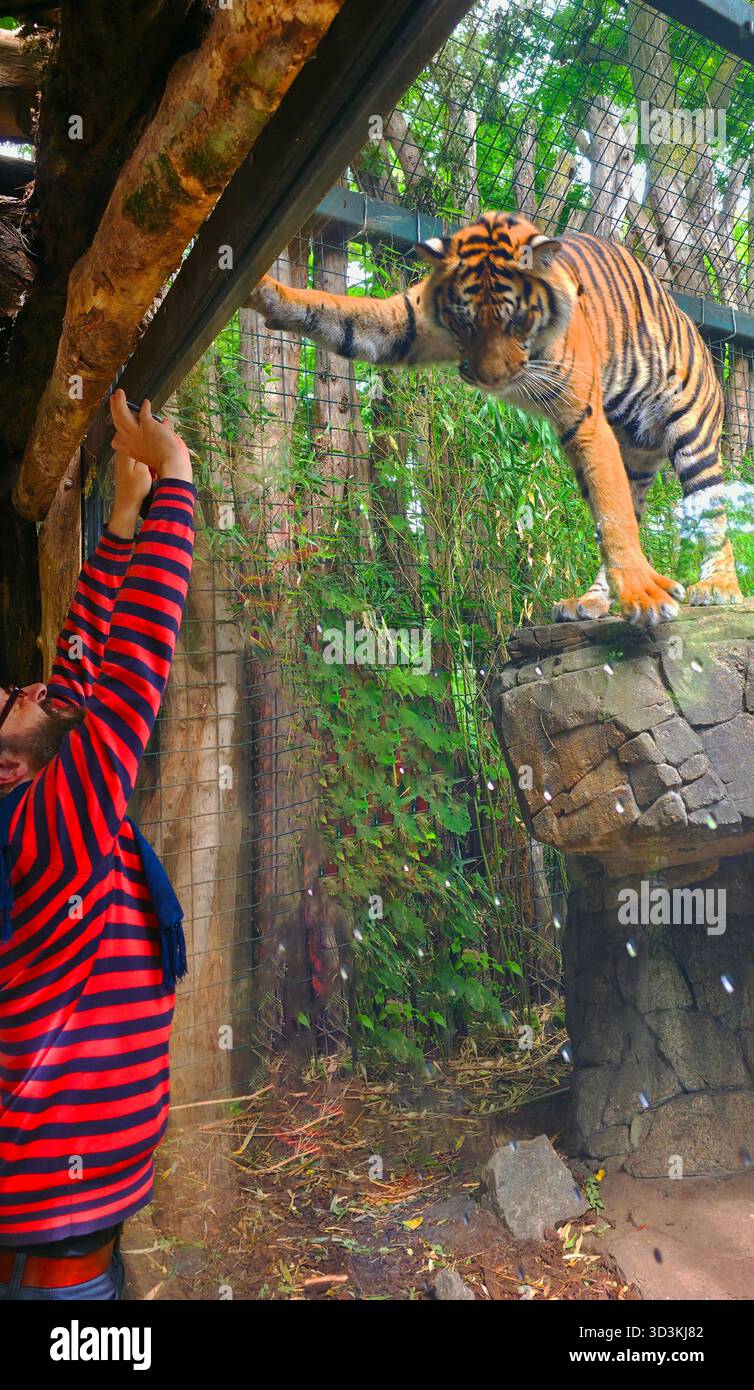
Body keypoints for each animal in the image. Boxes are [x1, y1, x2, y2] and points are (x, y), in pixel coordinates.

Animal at [247, 211, 743, 626]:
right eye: (463, 322)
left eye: (517, 322)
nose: (490, 379)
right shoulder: (406, 320)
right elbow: (336, 311)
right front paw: (267, 292)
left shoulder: (585, 418)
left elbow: (614, 517)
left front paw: (643, 593)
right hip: (632, 455)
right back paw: (592, 601)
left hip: (692, 433)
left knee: (712, 512)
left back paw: (719, 588)